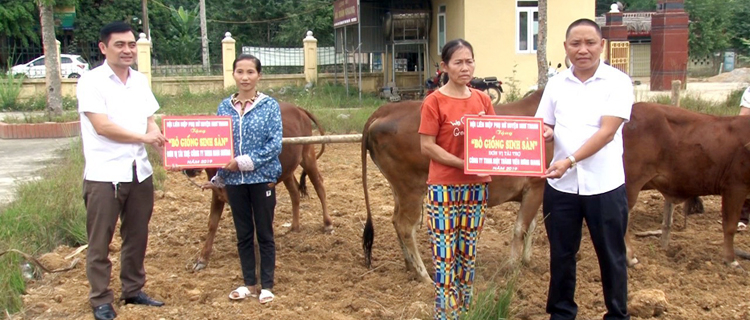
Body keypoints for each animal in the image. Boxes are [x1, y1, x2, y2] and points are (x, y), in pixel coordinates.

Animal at [192, 102, 334, 270]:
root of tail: (299, 109)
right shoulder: (217, 193)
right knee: (294, 192)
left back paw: (327, 224)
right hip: (288, 170)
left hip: (308, 156)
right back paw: (294, 226)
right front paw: (202, 259)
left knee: (319, 186)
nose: (189, 169)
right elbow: (212, 224)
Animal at [362, 90, 548, 282]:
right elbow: (521, 228)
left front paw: (527, 261)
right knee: (405, 226)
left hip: (398, 188)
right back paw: (424, 276)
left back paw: (410, 266)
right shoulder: (536, 185)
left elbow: (531, 226)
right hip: (411, 188)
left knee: (395, 220)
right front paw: (512, 269)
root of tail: (386, 110)